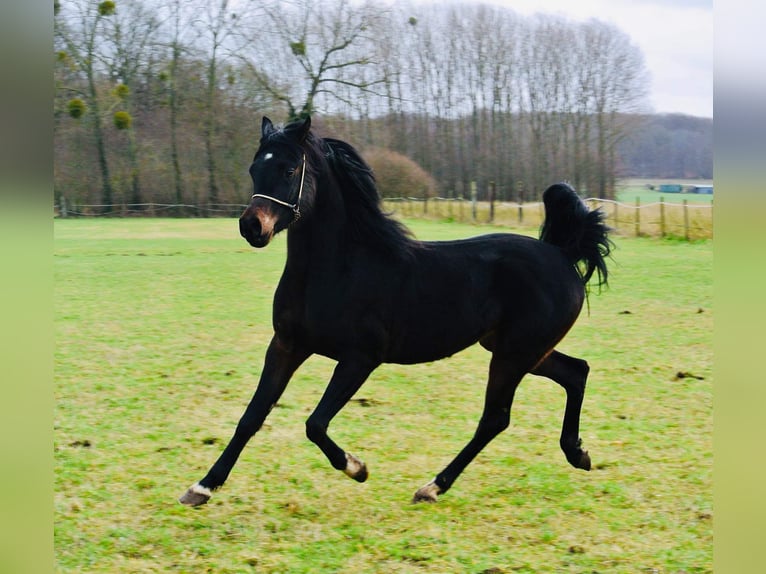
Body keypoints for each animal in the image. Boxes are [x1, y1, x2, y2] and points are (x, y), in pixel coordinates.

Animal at [178, 117, 612, 508]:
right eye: (254, 168)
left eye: (288, 169)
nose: (253, 227)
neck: (338, 269)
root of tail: (562, 254)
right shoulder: (286, 345)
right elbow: (251, 416)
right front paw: (202, 487)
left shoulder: (360, 358)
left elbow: (315, 423)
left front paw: (357, 468)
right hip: (517, 349)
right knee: (576, 371)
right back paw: (577, 453)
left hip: (514, 354)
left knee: (495, 418)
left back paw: (432, 487)